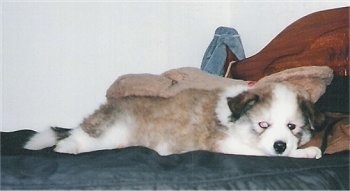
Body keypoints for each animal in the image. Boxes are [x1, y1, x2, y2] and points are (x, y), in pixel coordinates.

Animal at [24, 82, 324, 158]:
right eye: (263, 125)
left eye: (292, 127)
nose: (280, 145)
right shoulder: (227, 145)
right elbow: (263, 154)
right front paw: (305, 153)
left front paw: (303, 150)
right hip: (109, 131)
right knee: (80, 137)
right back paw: (66, 147)